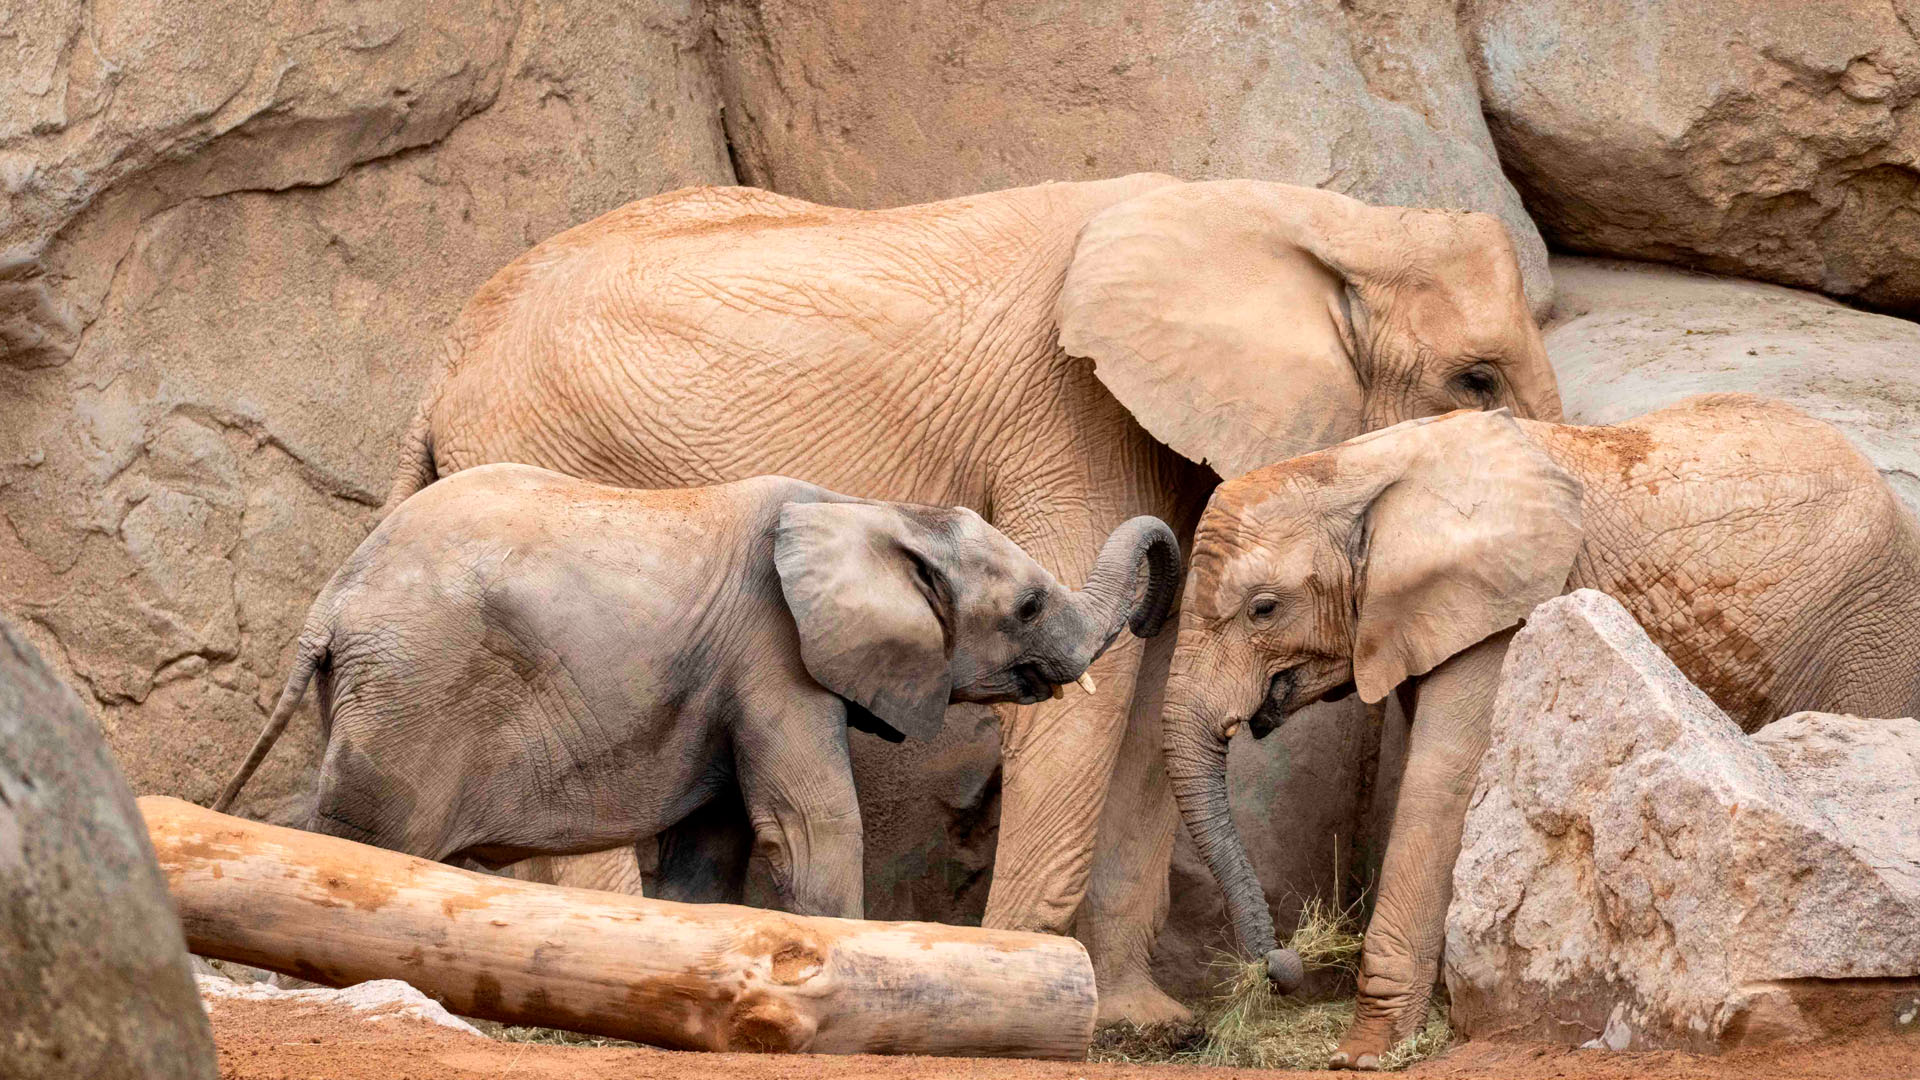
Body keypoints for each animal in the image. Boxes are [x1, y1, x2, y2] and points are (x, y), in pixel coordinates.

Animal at [213, 464, 1180, 918]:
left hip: (381, 686)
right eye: (1027, 606)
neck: (868, 506)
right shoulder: (774, 653)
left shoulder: (730, 678)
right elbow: (811, 823)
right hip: (417, 680)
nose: (1156, 613)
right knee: (367, 831)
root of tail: (333, 599)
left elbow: (710, 848)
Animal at [381, 174, 1562, 1022]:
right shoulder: (1070, 412)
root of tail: (443, 363)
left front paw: (1141, 1025)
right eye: (1475, 382)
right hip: (555, 462)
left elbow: (1150, 695)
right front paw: (1030, 985)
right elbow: (1099, 694)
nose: (1286, 973)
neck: (1313, 217)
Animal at [1163, 393, 1920, 1068]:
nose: (1282, 966)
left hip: (1871, 631)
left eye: (1263, 608)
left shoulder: (1505, 605)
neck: (1357, 465)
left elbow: (1441, 781)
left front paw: (1362, 1056)